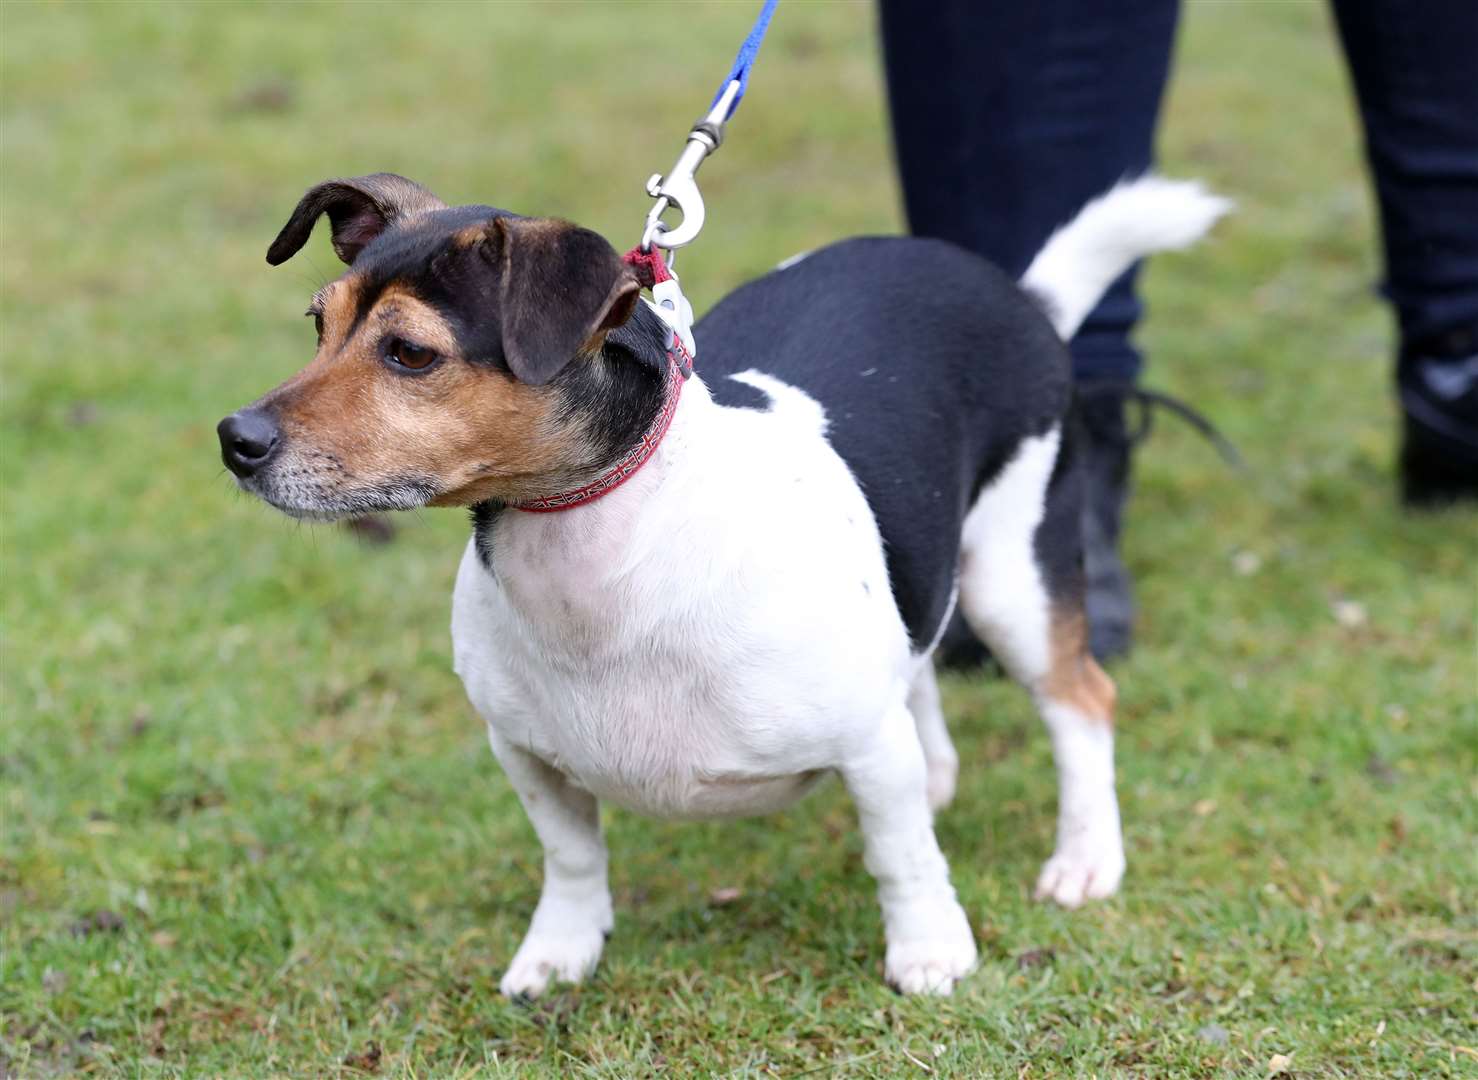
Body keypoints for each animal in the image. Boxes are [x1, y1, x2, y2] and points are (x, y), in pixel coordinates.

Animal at [221, 171, 1223, 998]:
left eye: (411, 354)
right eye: (319, 325)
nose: (235, 439)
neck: (601, 553)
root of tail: (1017, 293)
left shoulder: (866, 744)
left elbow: (900, 856)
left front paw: (930, 950)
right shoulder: (527, 755)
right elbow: (571, 859)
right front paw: (561, 952)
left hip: (1014, 576)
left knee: (1080, 703)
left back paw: (1085, 858)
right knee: (922, 661)